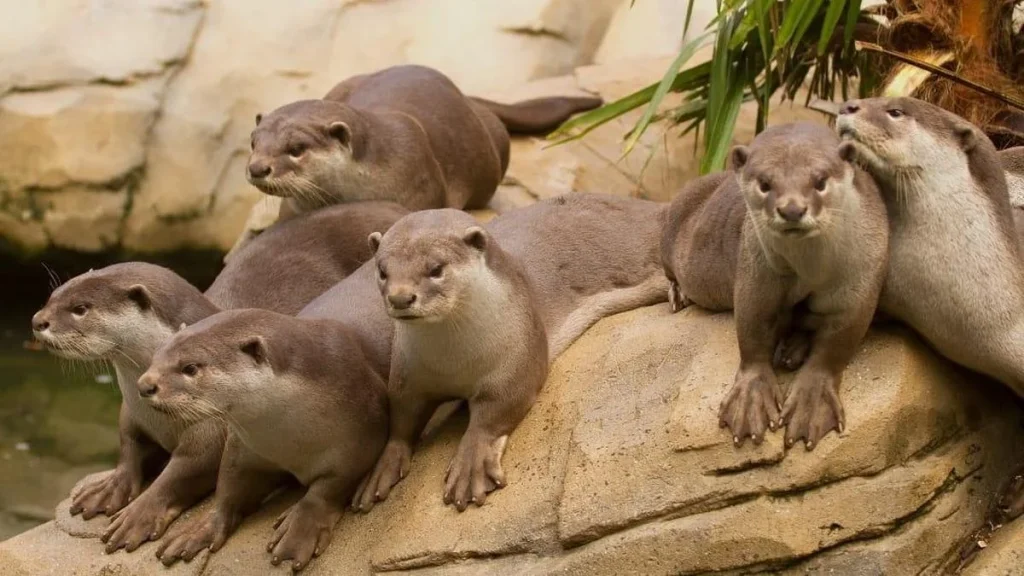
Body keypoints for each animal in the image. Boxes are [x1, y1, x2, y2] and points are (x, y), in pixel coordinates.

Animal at [29, 202, 406, 553]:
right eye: (53, 295)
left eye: (81, 308)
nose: (37, 321)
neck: (159, 419)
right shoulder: (131, 415)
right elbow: (128, 447)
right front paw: (107, 488)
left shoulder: (212, 432)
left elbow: (182, 473)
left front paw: (138, 514)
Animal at [661, 122, 889, 450]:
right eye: (765, 184)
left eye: (820, 181)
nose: (792, 209)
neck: (810, 268)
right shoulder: (756, 274)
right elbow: (753, 332)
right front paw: (750, 401)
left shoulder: (861, 279)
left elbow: (836, 346)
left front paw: (812, 402)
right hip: (669, 228)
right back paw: (678, 295)